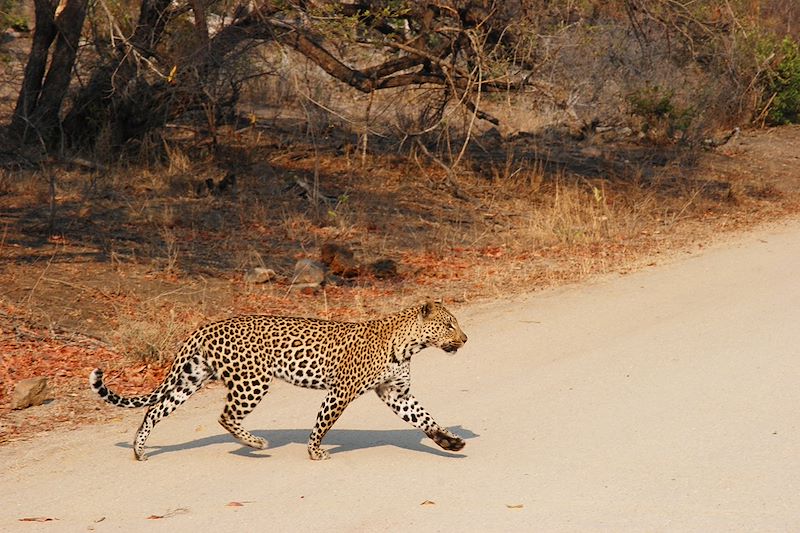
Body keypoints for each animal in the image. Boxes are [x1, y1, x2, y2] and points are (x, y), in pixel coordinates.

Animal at [91, 302, 468, 460]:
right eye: (449, 325)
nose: (465, 339)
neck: (410, 344)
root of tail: (207, 325)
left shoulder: (396, 393)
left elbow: (425, 419)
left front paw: (449, 442)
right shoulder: (341, 392)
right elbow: (322, 423)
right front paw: (314, 451)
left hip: (192, 377)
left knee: (154, 410)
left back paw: (139, 450)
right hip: (252, 381)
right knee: (225, 416)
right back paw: (255, 444)